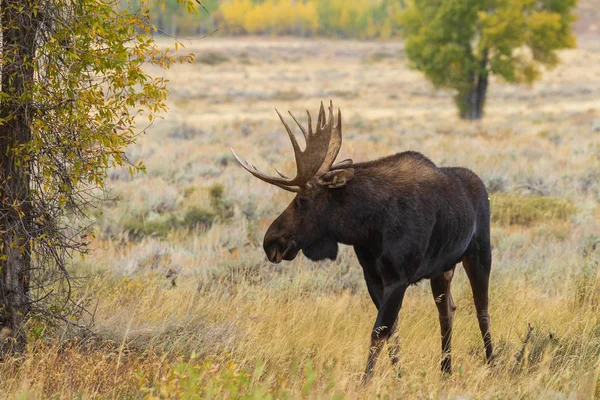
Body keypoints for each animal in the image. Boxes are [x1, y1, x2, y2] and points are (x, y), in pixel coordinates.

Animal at [230, 101, 492, 380]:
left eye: (302, 201)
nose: (270, 241)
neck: (370, 224)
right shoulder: (373, 276)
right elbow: (392, 331)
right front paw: (398, 377)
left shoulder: (398, 277)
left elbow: (379, 332)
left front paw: (366, 380)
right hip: (442, 269)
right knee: (447, 311)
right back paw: (446, 370)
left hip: (479, 254)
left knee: (482, 310)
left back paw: (492, 363)